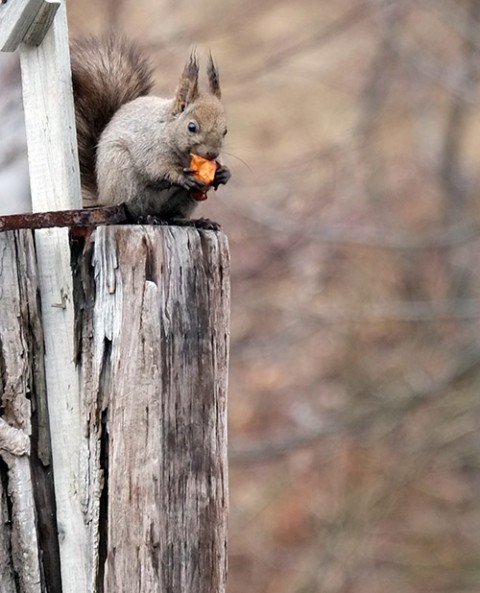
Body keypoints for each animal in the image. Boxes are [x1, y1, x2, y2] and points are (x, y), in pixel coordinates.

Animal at [69, 36, 231, 227]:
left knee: (172, 216)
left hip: (184, 200)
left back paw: (194, 221)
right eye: (191, 127)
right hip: (124, 178)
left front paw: (224, 173)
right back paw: (146, 218)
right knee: (132, 213)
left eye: (225, 131)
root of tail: (103, 197)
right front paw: (181, 177)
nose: (212, 154)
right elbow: (156, 169)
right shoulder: (151, 148)